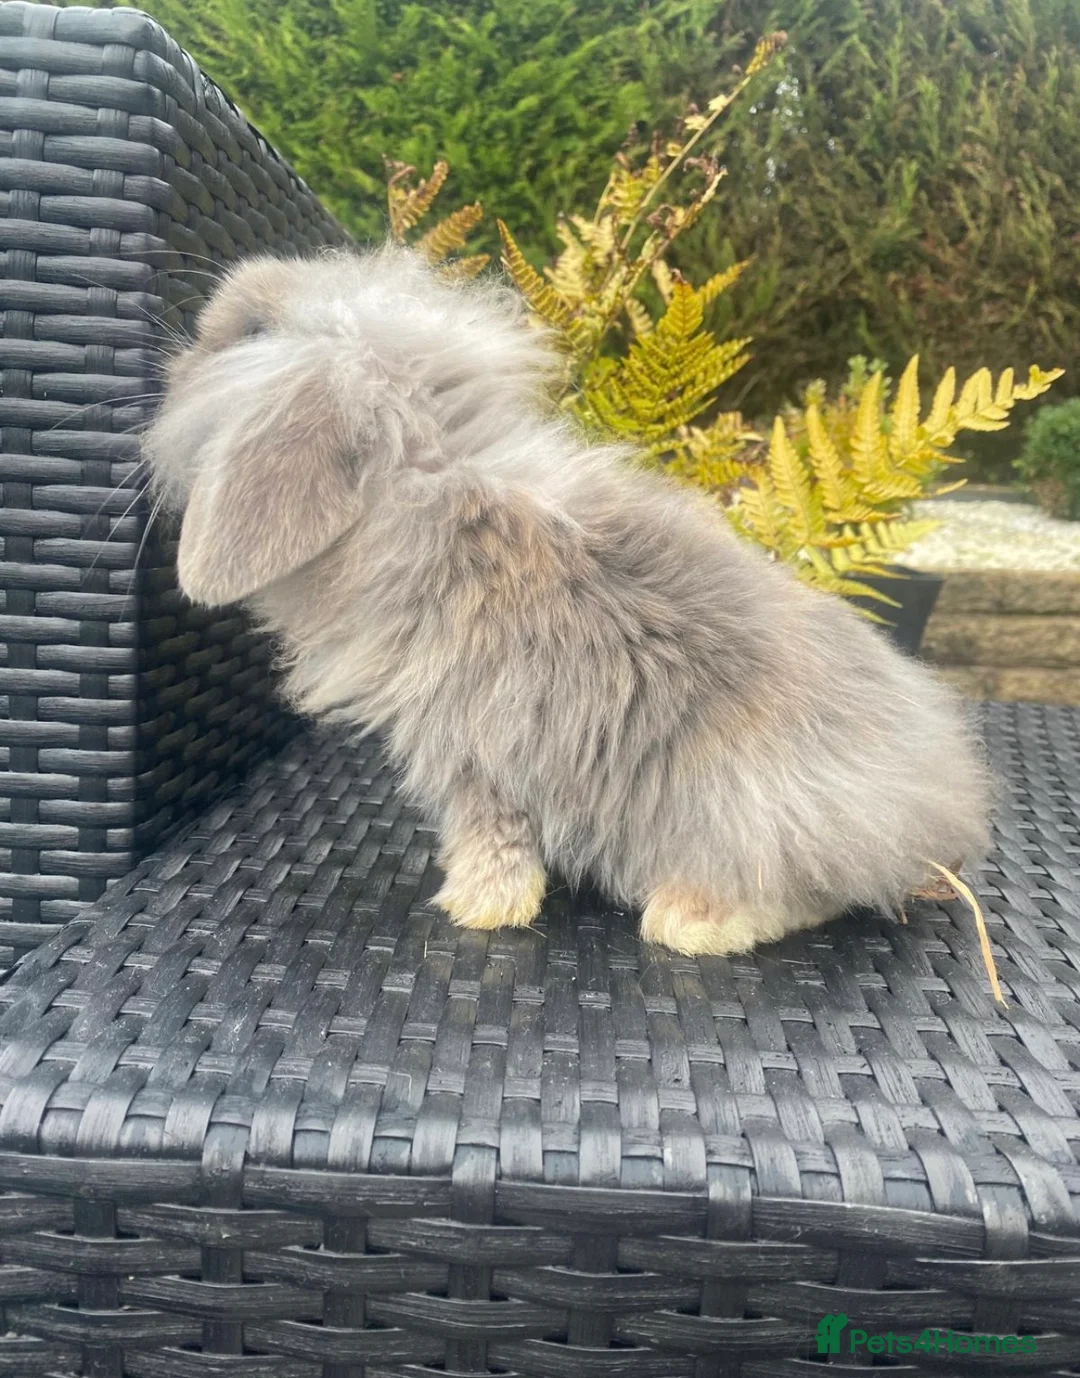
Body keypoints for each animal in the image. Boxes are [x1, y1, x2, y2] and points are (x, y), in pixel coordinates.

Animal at [142, 241, 995, 957]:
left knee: (805, 894)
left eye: (251, 333)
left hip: (758, 811)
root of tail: (940, 808)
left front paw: (474, 909)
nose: (178, 353)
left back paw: (690, 921)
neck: (430, 492)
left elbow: (493, 842)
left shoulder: (479, 759)